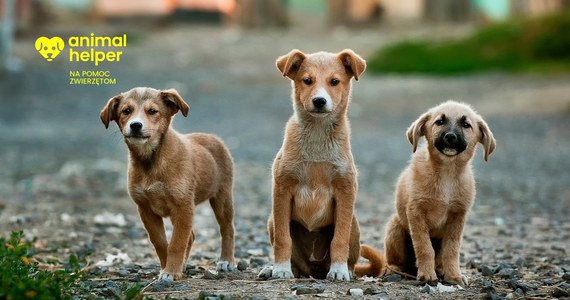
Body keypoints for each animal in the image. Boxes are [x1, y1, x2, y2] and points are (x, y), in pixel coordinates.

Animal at [100, 86, 235, 282]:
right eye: (126, 111)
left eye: (152, 111)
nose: (135, 125)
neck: (151, 161)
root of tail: (212, 137)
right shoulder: (146, 210)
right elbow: (161, 243)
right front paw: (168, 268)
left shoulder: (183, 207)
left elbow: (177, 243)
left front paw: (171, 271)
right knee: (191, 236)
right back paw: (184, 265)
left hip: (222, 198)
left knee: (227, 229)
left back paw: (226, 261)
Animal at [262, 49, 380, 282]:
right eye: (307, 80)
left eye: (334, 81)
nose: (319, 101)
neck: (317, 135)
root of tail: (314, 270)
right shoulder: (282, 189)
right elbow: (283, 238)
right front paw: (280, 269)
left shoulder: (345, 190)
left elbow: (339, 239)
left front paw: (339, 270)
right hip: (272, 220)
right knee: (294, 260)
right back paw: (274, 268)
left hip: (354, 223)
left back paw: (346, 270)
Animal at [384, 100, 494, 286]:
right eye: (439, 122)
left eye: (466, 125)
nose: (450, 137)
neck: (447, 173)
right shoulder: (416, 212)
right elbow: (424, 247)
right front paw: (427, 275)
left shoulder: (457, 216)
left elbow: (452, 249)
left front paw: (454, 275)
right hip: (395, 228)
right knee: (395, 261)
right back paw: (394, 270)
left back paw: (441, 270)